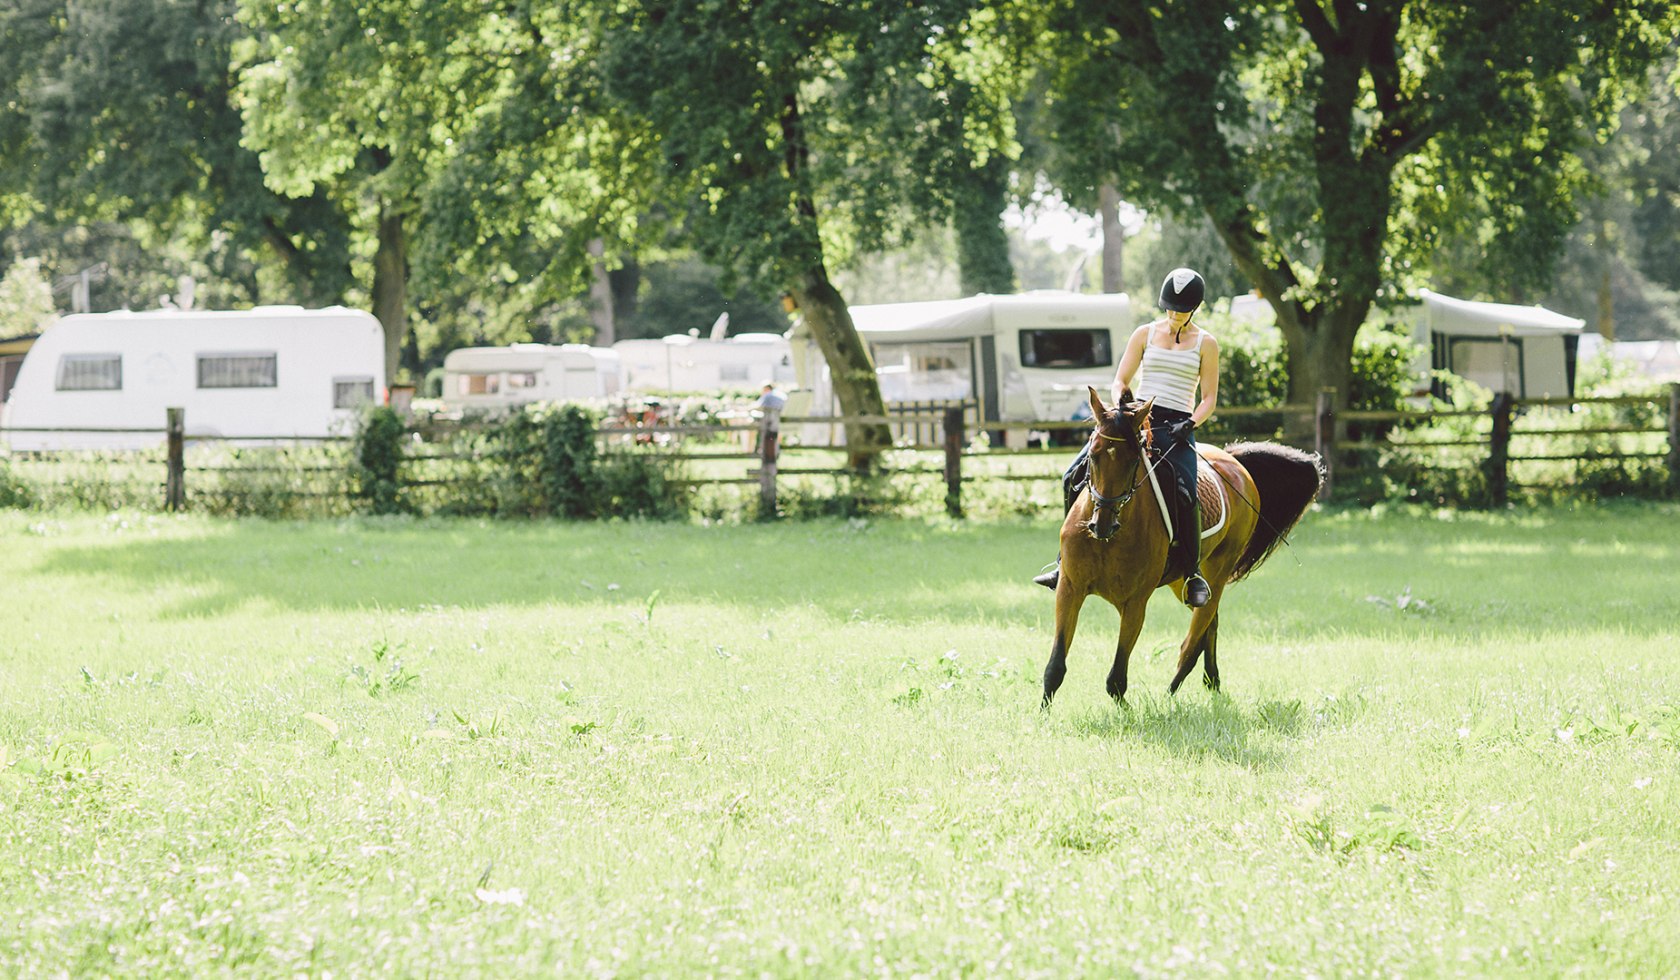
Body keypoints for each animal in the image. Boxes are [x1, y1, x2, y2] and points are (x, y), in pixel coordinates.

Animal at [1034, 386, 1323, 709]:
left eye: (1134, 461)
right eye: (1094, 456)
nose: (1102, 524)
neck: (1109, 538)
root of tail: (1233, 460)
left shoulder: (1135, 602)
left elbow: (1116, 680)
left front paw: (1130, 713)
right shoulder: (1070, 589)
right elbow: (1055, 667)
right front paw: (1043, 714)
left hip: (1216, 571)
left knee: (1196, 633)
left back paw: (1171, 694)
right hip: (1179, 579)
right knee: (1211, 622)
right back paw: (1212, 682)